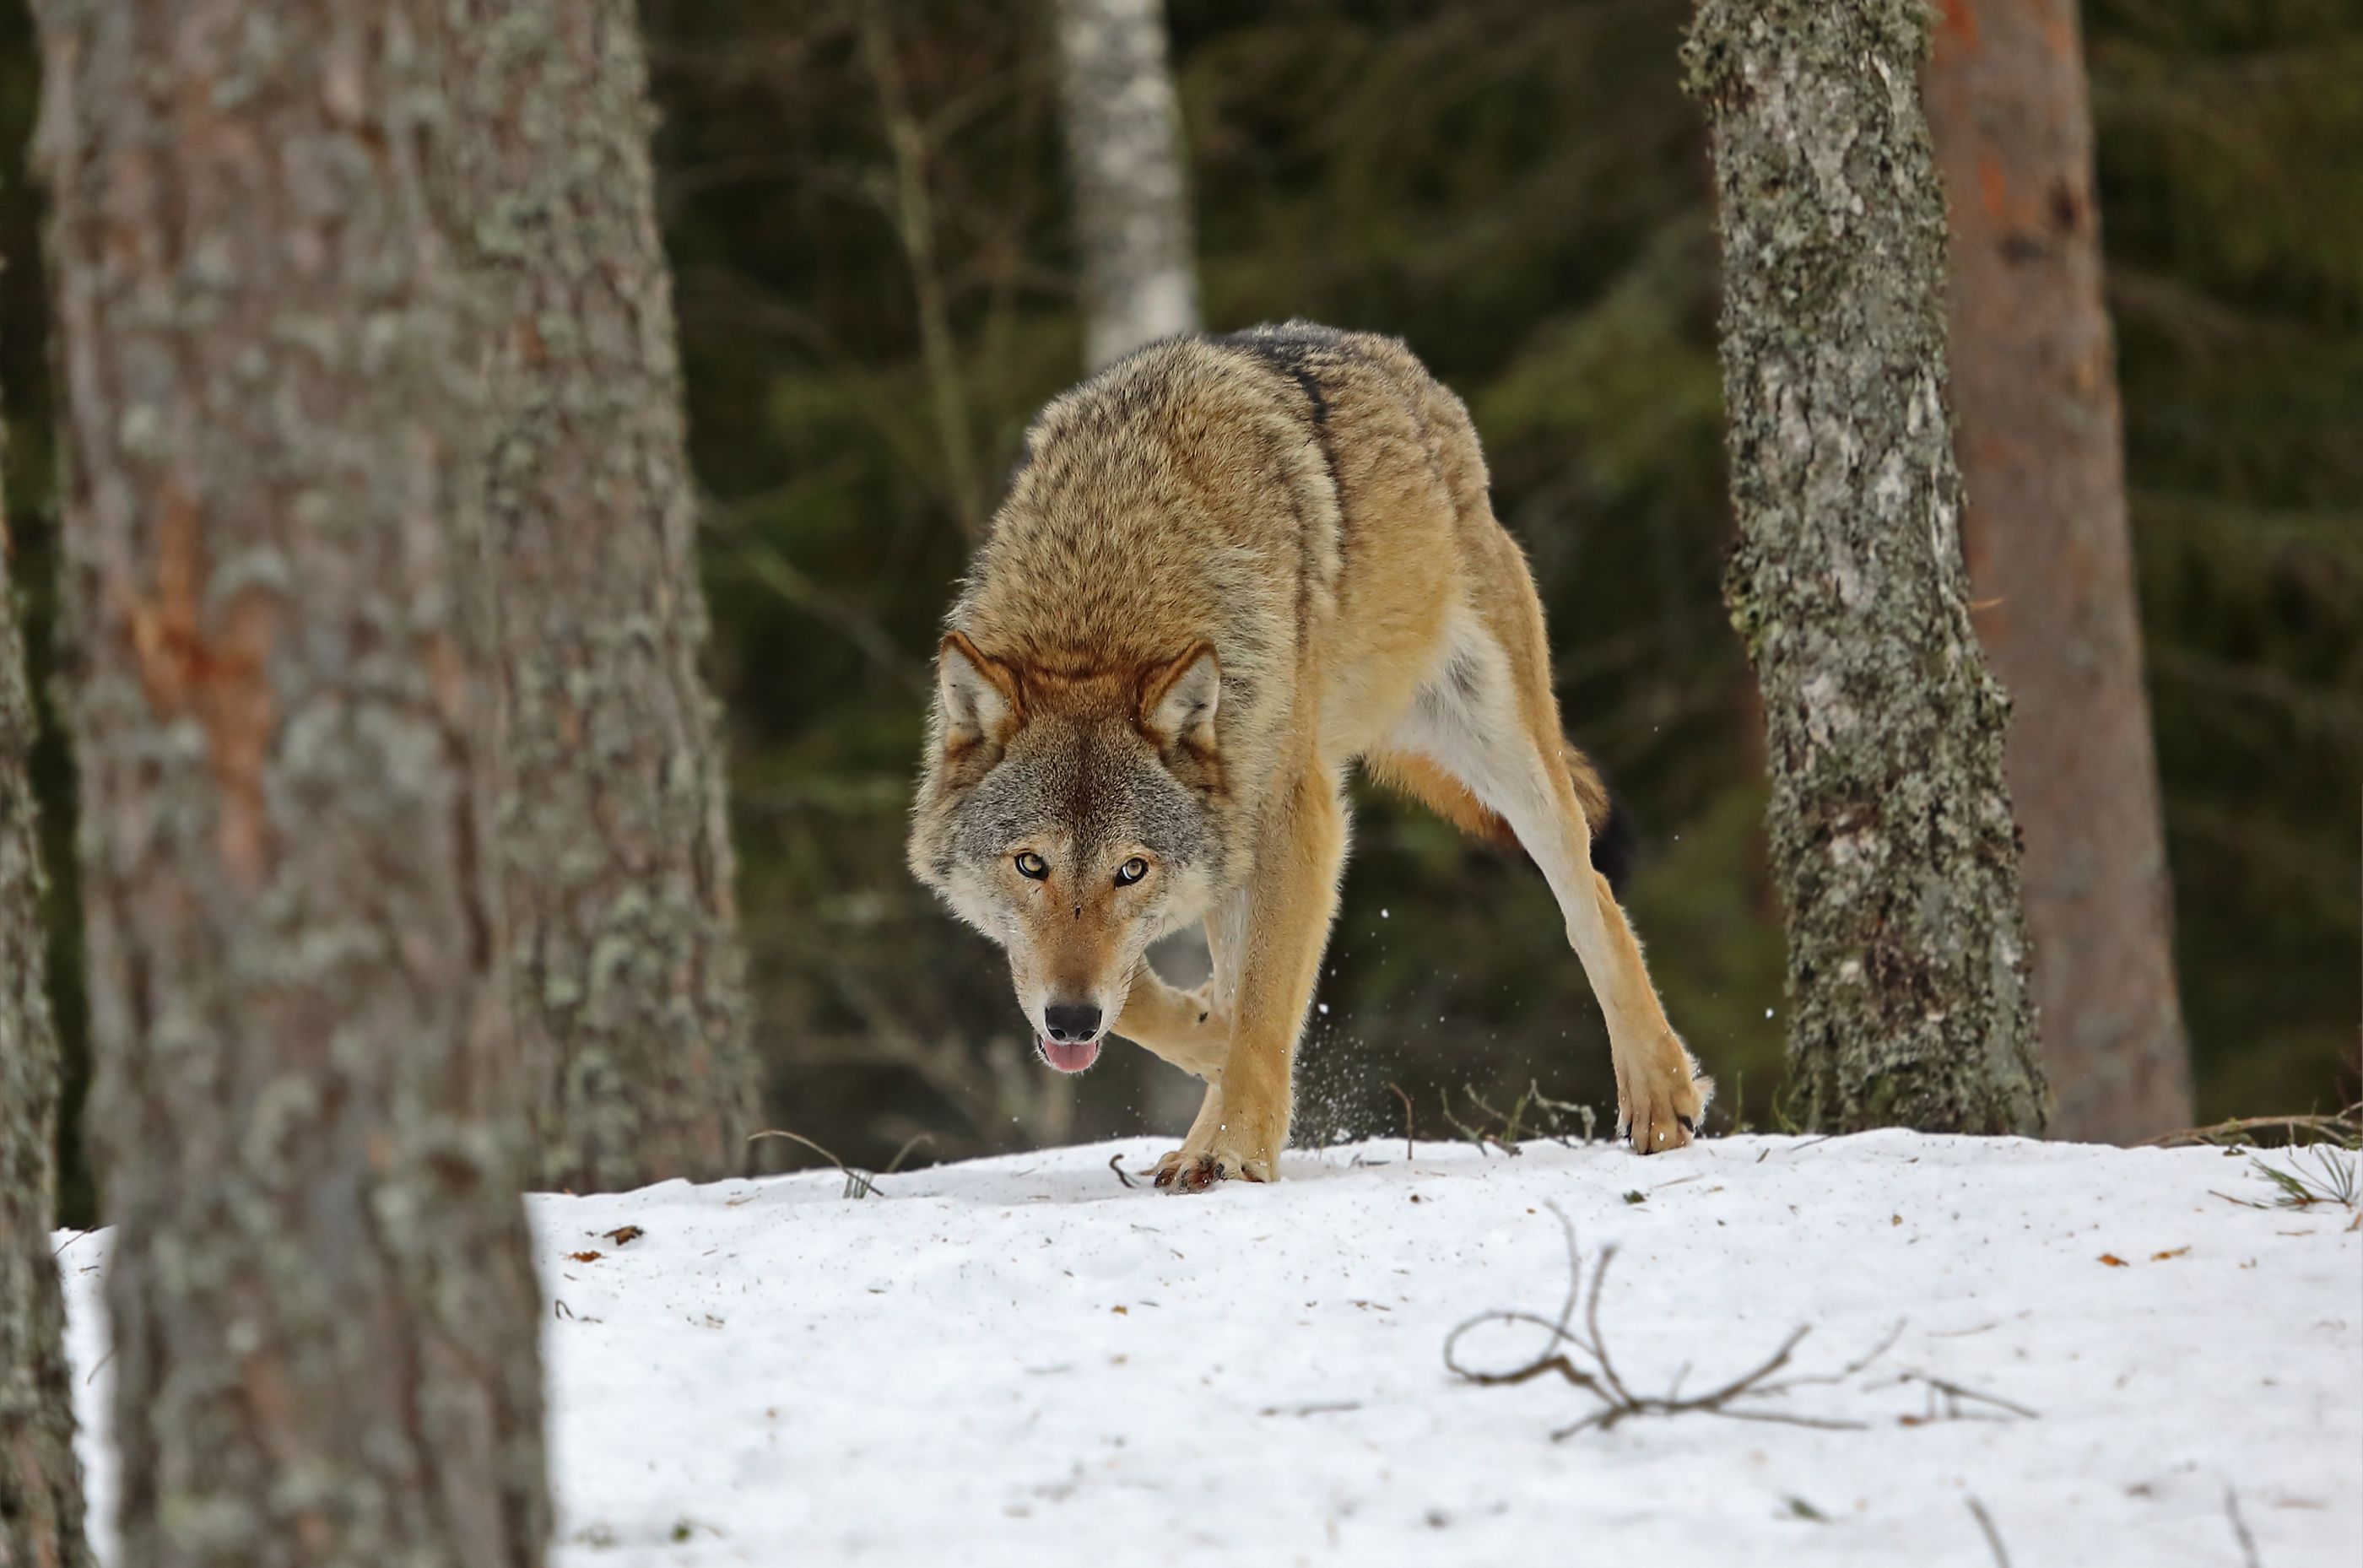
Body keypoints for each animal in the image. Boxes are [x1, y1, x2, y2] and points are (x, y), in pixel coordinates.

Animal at [902, 321, 1701, 1190]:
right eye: (1030, 865)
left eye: (1131, 870)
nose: (1073, 1020)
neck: (1104, 594)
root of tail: (1405, 367)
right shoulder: (1209, 854)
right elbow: (1169, 998)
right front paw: (1207, 1049)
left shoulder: (1295, 814)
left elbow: (1261, 1007)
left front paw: (1237, 1149)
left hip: (1499, 745)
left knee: (1588, 891)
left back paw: (1661, 1095)